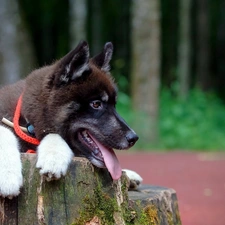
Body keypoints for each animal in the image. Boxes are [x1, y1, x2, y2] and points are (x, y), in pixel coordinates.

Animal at [0, 41, 141, 198]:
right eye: (96, 104)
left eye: (114, 105)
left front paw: (54, 156)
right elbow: (4, 132)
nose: (134, 138)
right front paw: (8, 176)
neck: (29, 123)